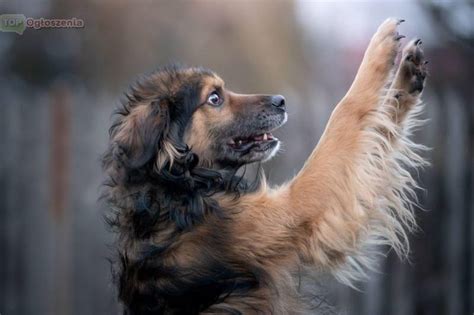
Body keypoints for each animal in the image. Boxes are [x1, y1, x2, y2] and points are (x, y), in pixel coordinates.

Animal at [103, 18, 430, 314]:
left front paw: (405, 78)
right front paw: (381, 48)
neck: (174, 187)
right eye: (214, 98)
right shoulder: (296, 207)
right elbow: (345, 112)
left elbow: (381, 123)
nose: (281, 101)